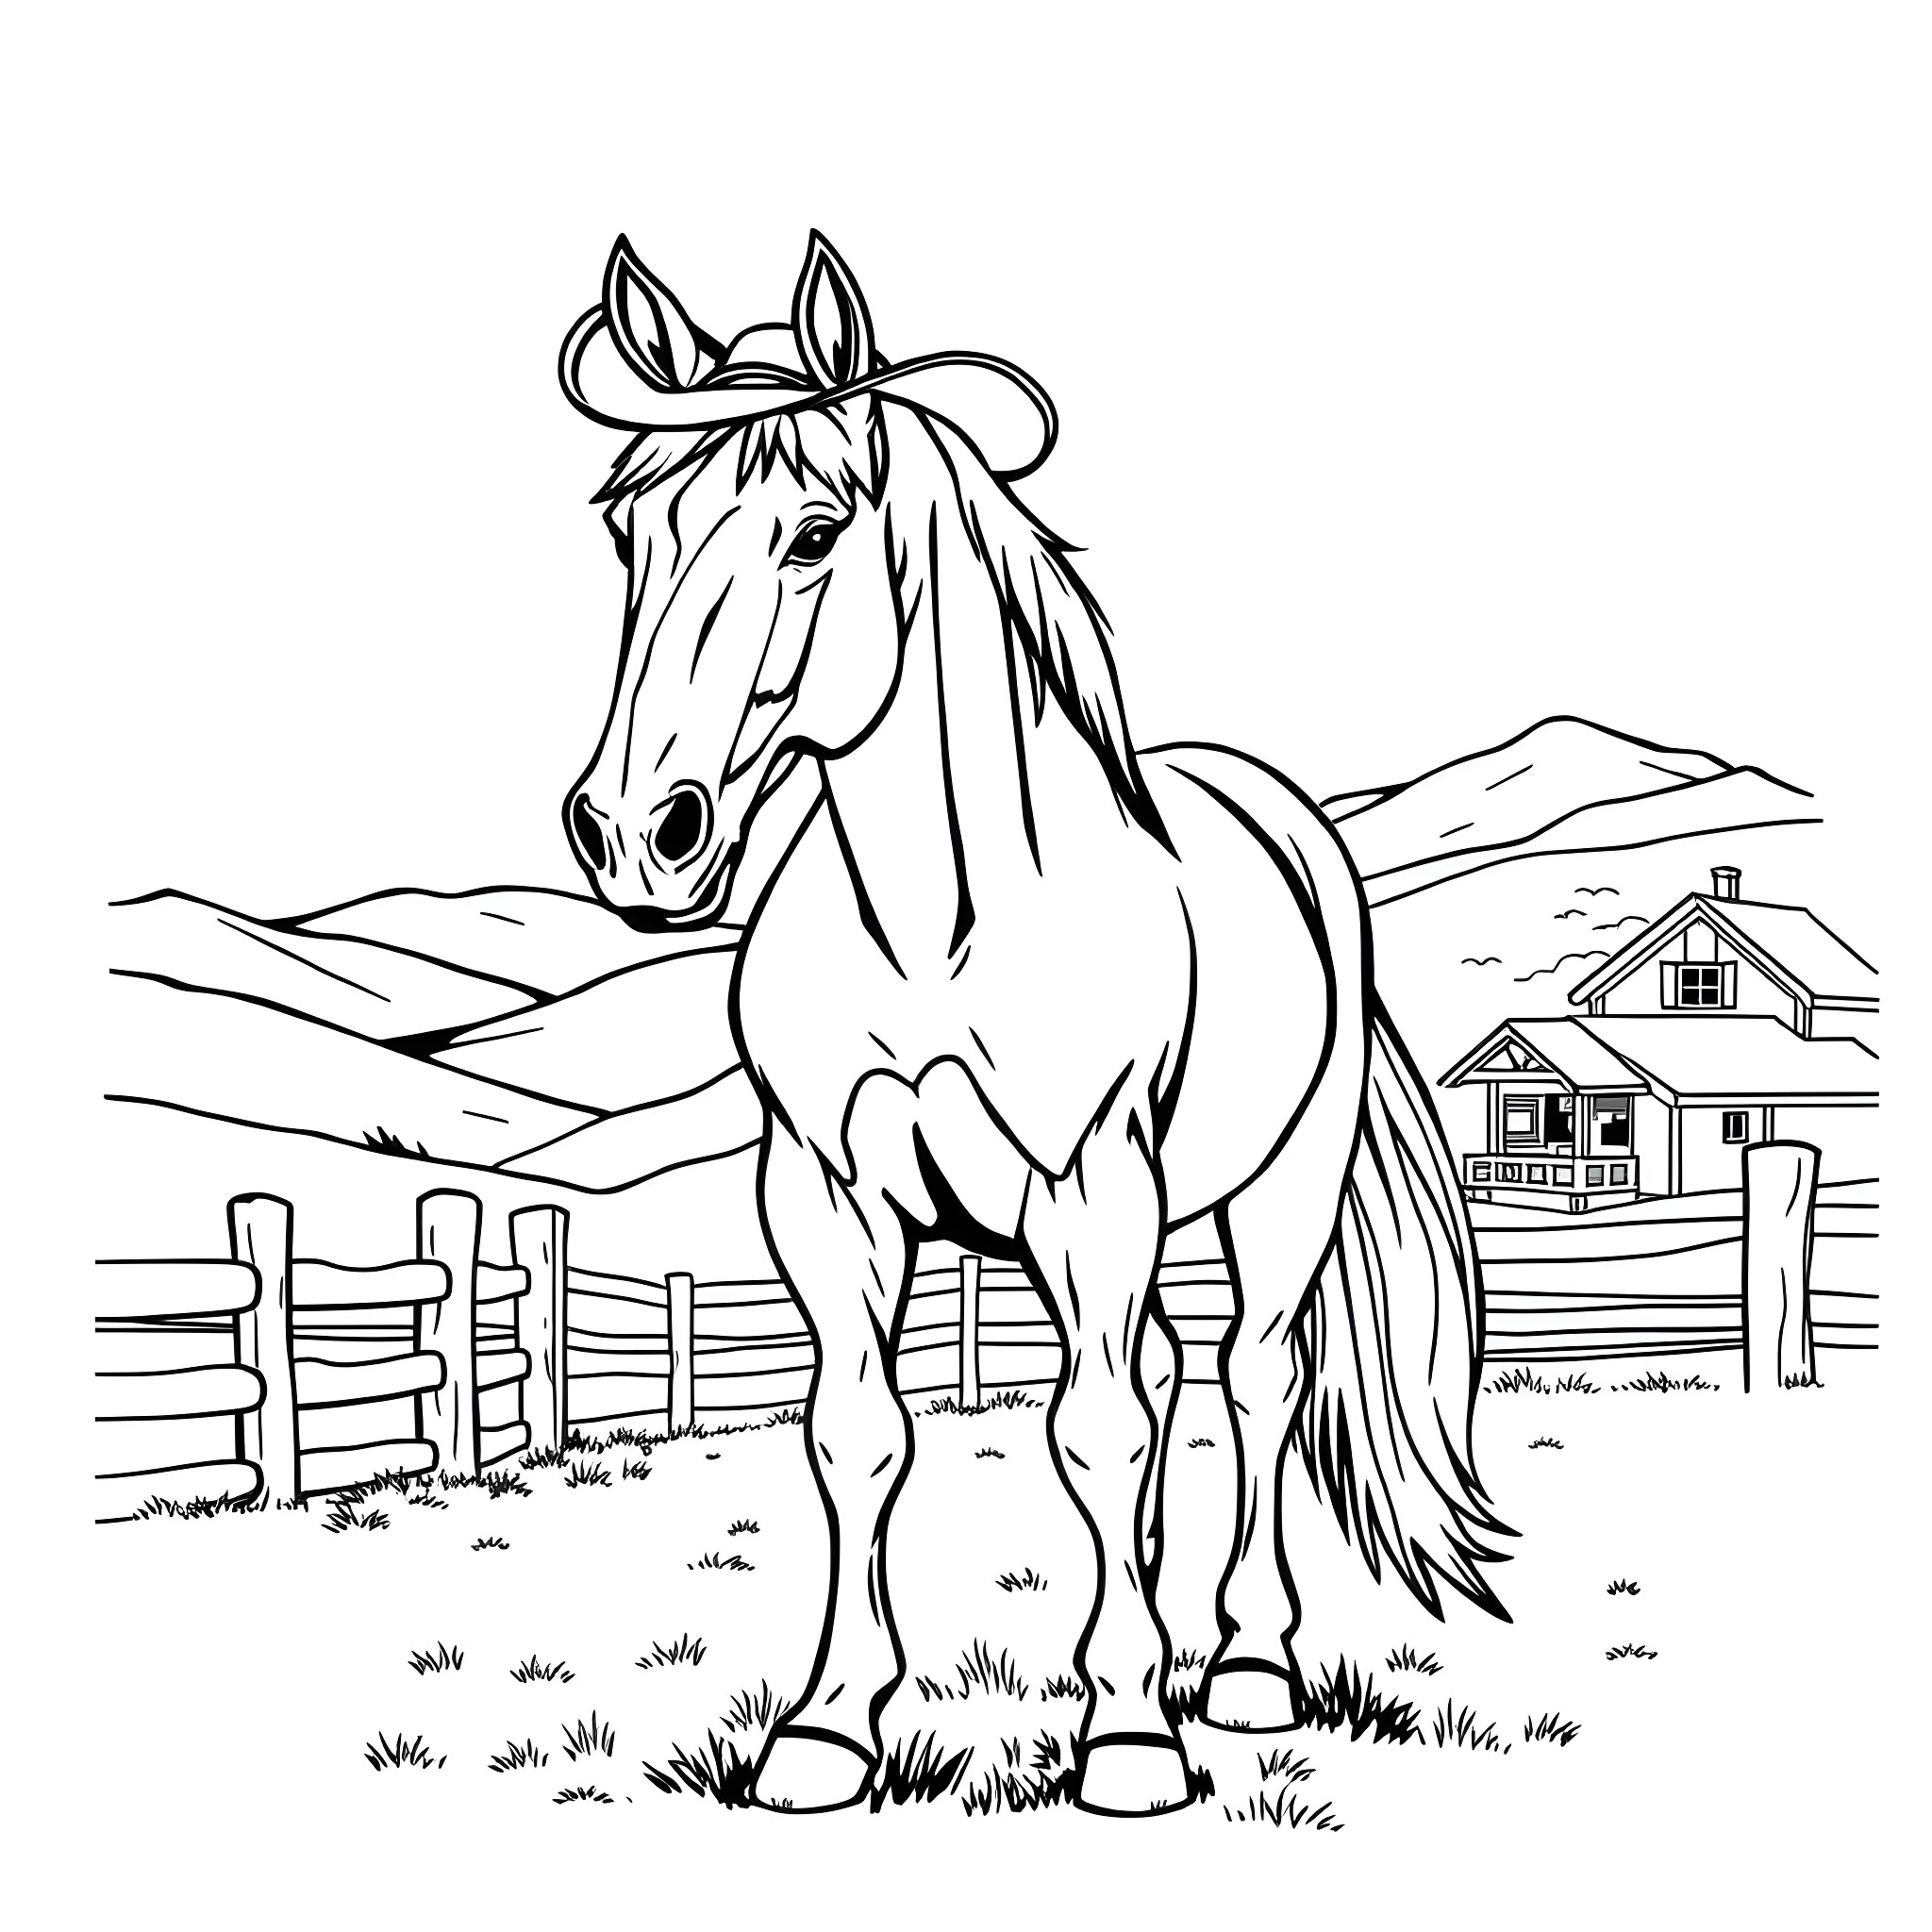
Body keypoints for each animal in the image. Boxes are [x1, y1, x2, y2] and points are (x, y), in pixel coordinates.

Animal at [555, 233, 1507, 1815]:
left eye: (816, 533)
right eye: (630, 532)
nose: (638, 835)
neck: (934, 925)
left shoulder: (1086, 1187)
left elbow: (1097, 1431)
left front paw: (1123, 1741)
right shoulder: (827, 1196)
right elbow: (858, 1436)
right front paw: (829, 1729)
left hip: (1274, 1195)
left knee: (1248, 1383)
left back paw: (1241, 1670)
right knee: (1175, 1373)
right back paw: (1173, 1650)